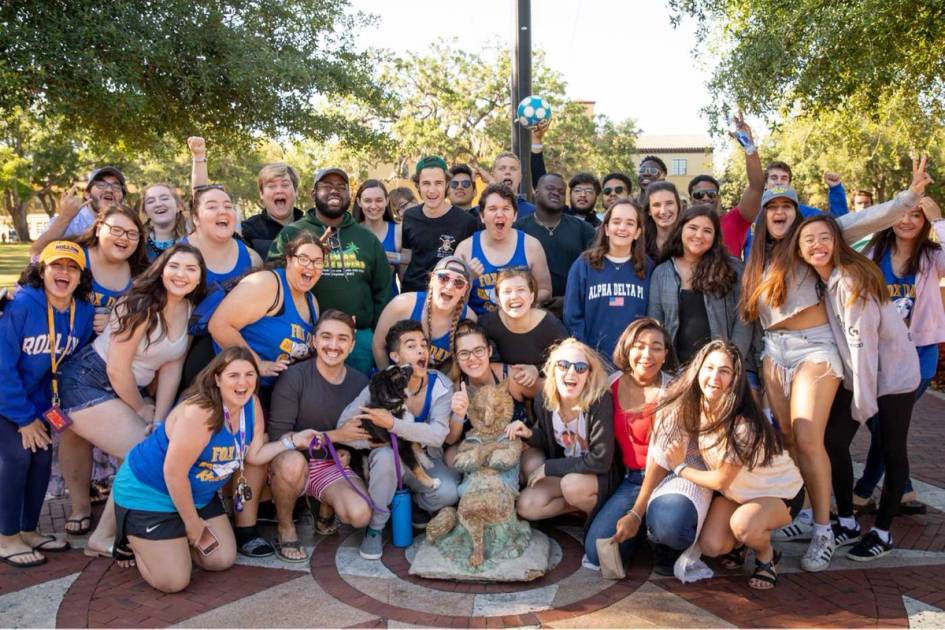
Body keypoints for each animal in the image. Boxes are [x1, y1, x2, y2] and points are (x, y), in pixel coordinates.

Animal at [360, 362, 440, 492]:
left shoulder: (407, 431)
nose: (409, 363)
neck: (392, 407)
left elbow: (417, 447)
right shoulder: (401, 445)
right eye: (397, 373)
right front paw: (431, 482)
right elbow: (416, 467)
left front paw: (427, 462)